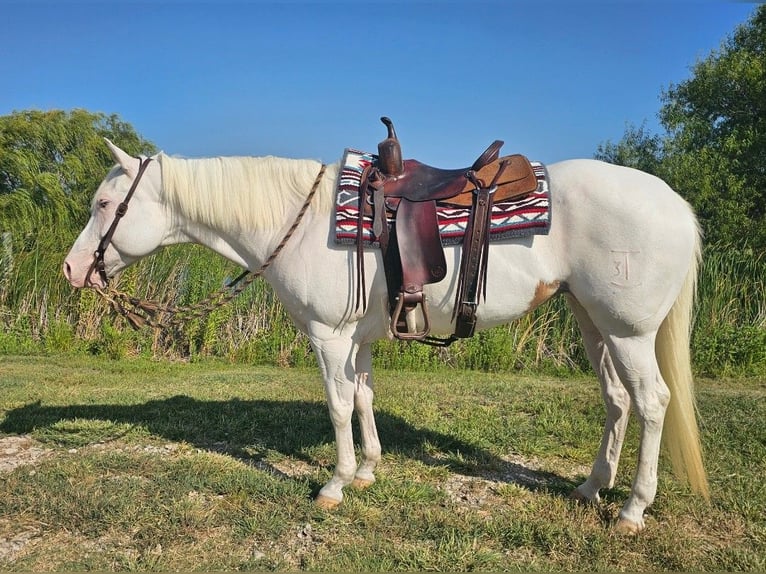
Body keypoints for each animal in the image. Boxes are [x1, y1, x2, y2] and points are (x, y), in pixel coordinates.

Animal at [63, 138, 709, 534]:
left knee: (652, 402)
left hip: (629, 331)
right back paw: (591, 488)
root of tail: (676, 204)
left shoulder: (328, 337)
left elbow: (337, 403)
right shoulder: (359, 340)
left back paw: (632, 510)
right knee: (617, 400)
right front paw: (370, 469)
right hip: (593, 323)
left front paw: (335, 483)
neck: (300, 223)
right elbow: (364, 397)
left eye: (104, 203)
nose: (71, 269)